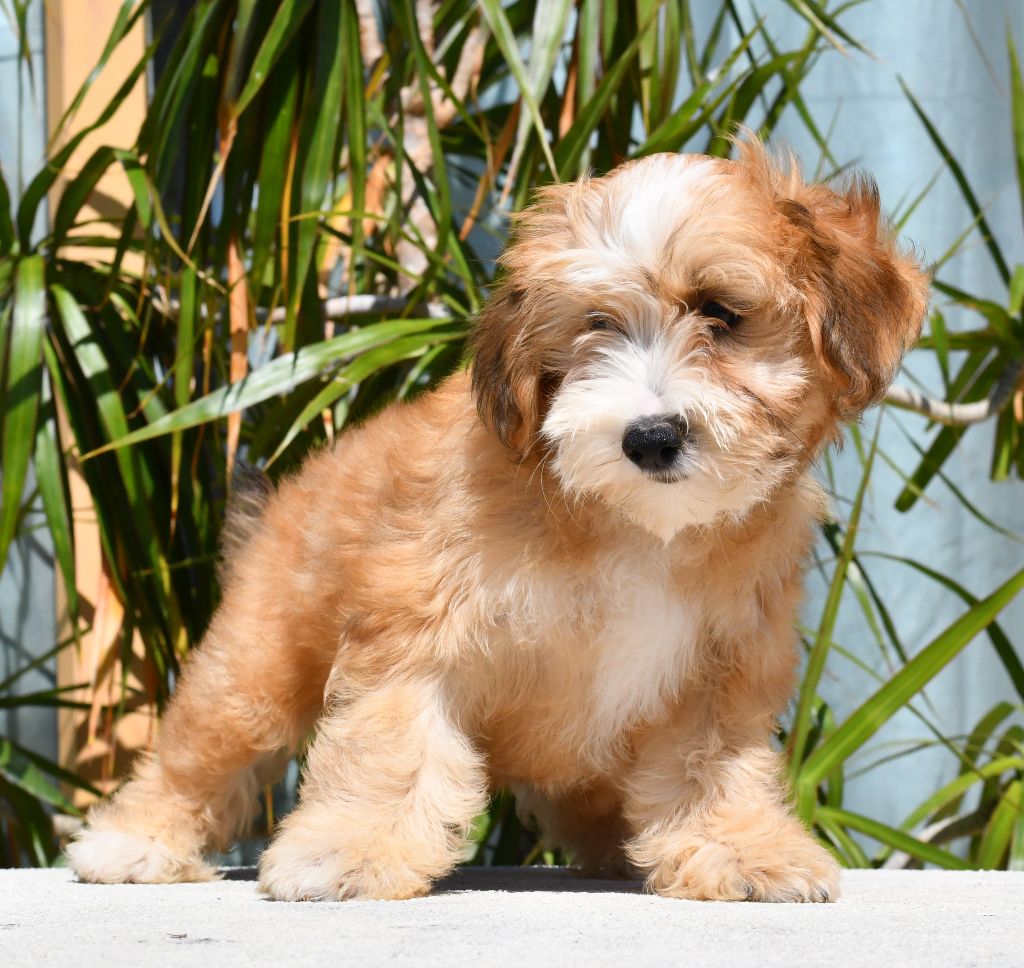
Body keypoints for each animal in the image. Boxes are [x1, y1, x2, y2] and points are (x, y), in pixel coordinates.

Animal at [67, 138, 928, 902]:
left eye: (721, 313)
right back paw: (132, 843)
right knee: (203, 749)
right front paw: (349, 852)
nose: (649, 436)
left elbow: (708, 761)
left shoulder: (724, 662)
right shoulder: (416, 626)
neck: (633, 525)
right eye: (595, 326)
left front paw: (736, 850)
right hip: (256, 662)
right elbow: (392, 743)